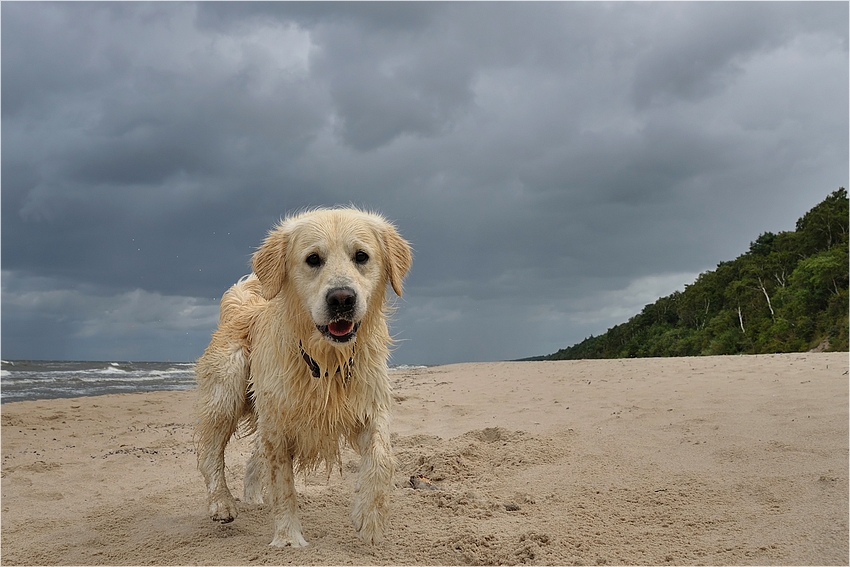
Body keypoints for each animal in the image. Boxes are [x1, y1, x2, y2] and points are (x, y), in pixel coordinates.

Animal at [196, 206, 414, 548]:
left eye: (361, 256)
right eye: (313, 259)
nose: (342, 299)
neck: (326, 361)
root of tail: (242, 304)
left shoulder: (370, 405)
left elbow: (383, 457)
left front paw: (370, 519)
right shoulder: (278, 424)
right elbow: (283, 484)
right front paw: (288, 538)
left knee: (253, 457)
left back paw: (254, 499)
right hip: (228, 387)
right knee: (211, 451)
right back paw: (222, 503)